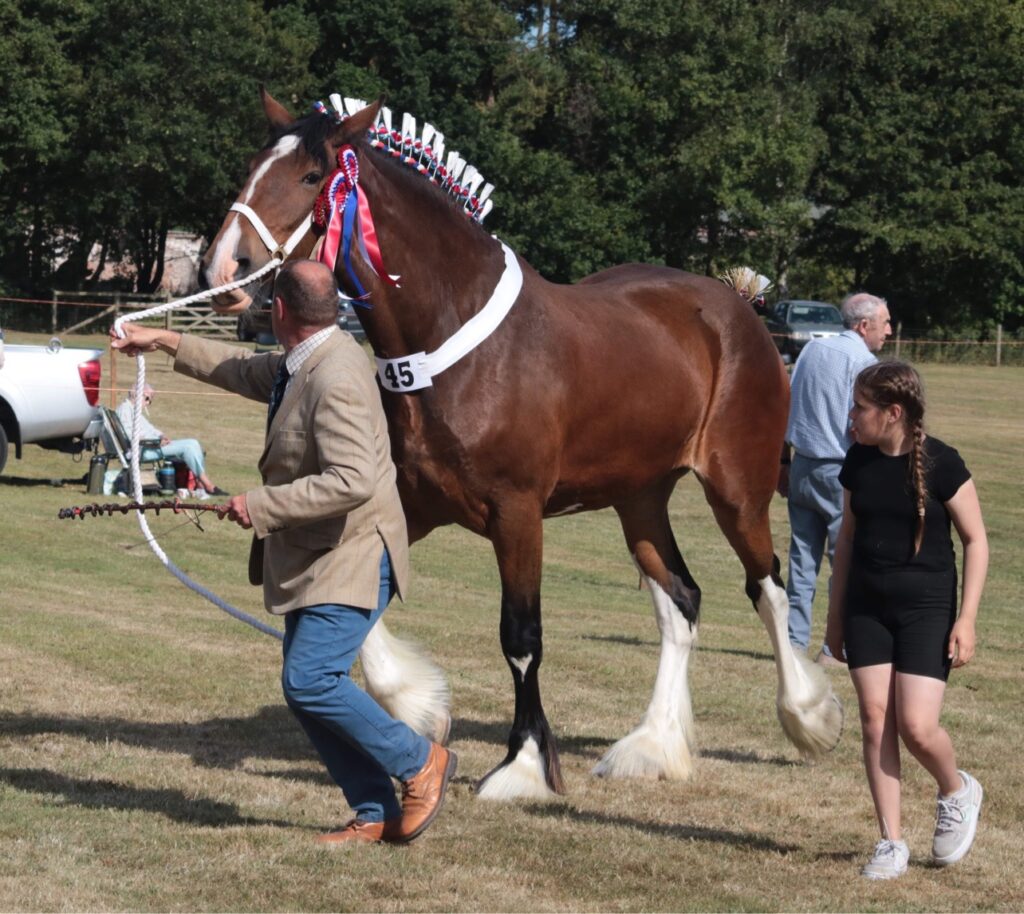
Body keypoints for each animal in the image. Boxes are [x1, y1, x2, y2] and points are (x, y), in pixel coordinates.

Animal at [199, 89, 843, 800]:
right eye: (252, 166)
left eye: (313, 176)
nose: (223, 266)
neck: (450, 345)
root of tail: (737, 308)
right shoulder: (408, 504)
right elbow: (359, 600)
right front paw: (418, 703)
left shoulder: (517, 514)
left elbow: (521, 636)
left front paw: (524, 763)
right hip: (639, 497)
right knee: (681, 600)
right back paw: (652, 745)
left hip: (736, 489)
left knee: (767, 586)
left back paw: (807, 716)